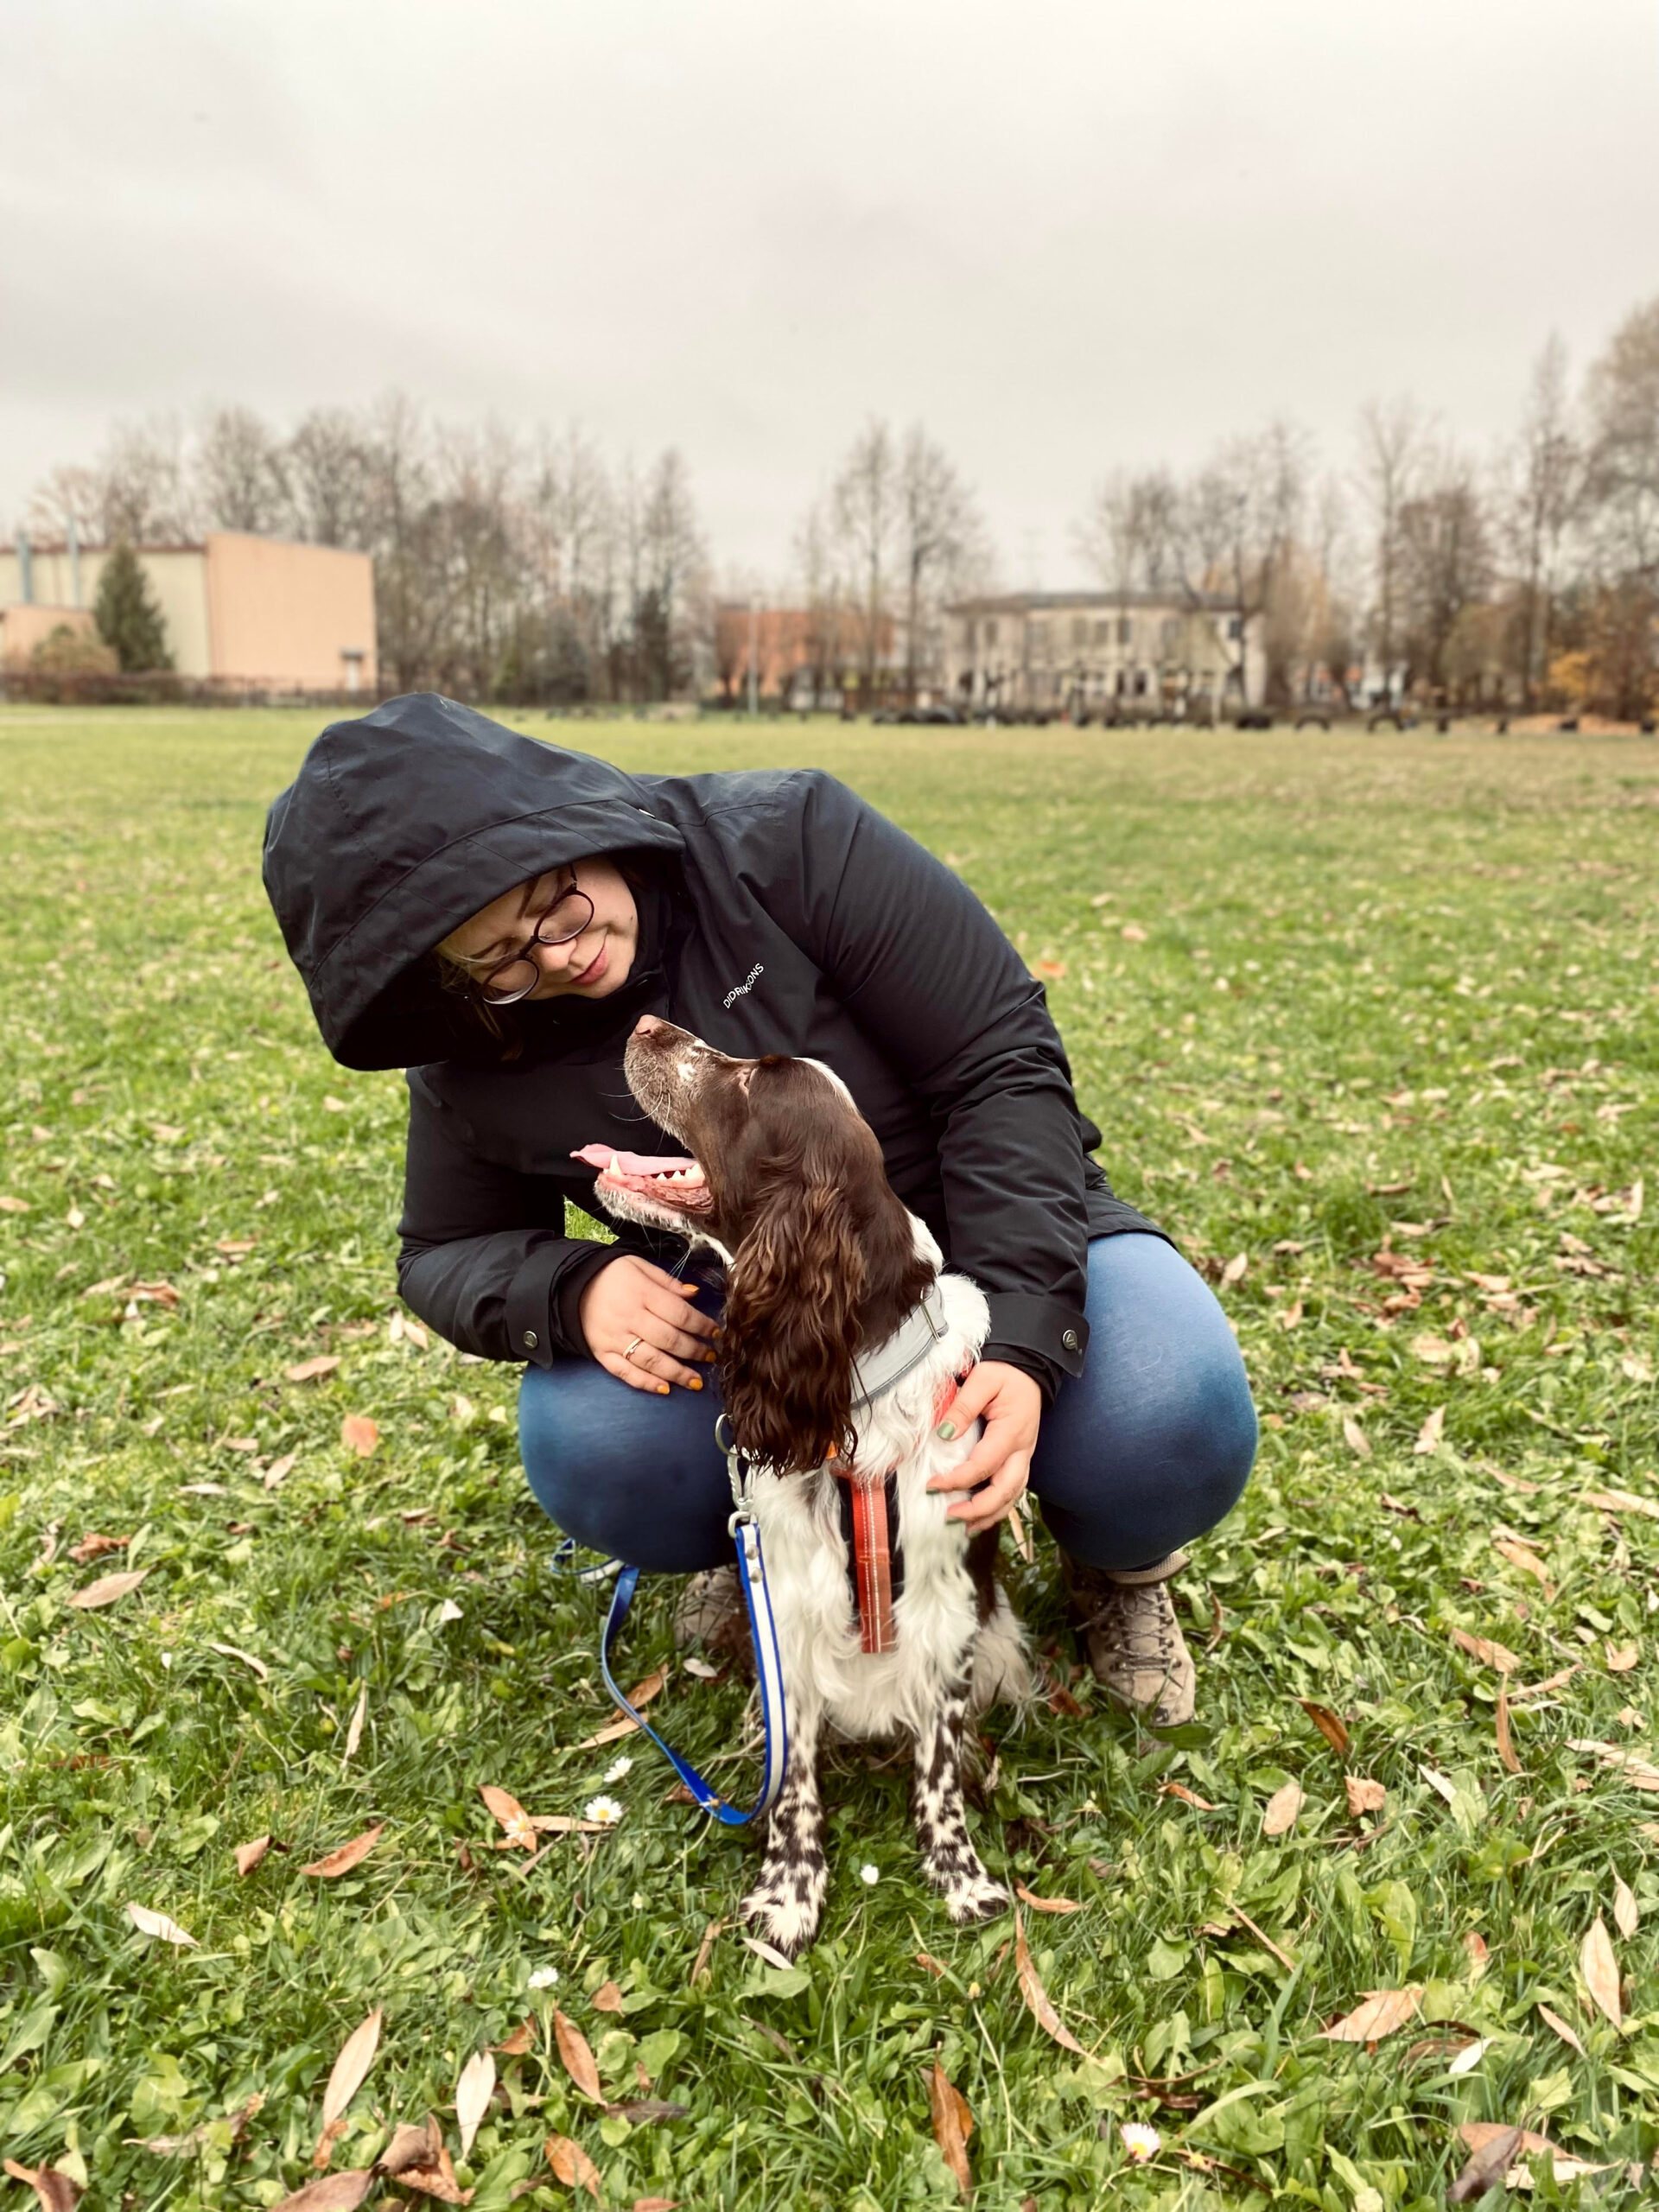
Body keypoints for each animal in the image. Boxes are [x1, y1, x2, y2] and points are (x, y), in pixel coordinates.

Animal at [583, 1015, 1030, 1957]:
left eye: (756, 1080)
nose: (645, 1023)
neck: (849, 1387)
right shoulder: (787, 1606)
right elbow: (794, 1780)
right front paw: (788, 1892)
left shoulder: (945, 1607)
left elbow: (937, 1764)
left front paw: (961, 1876)